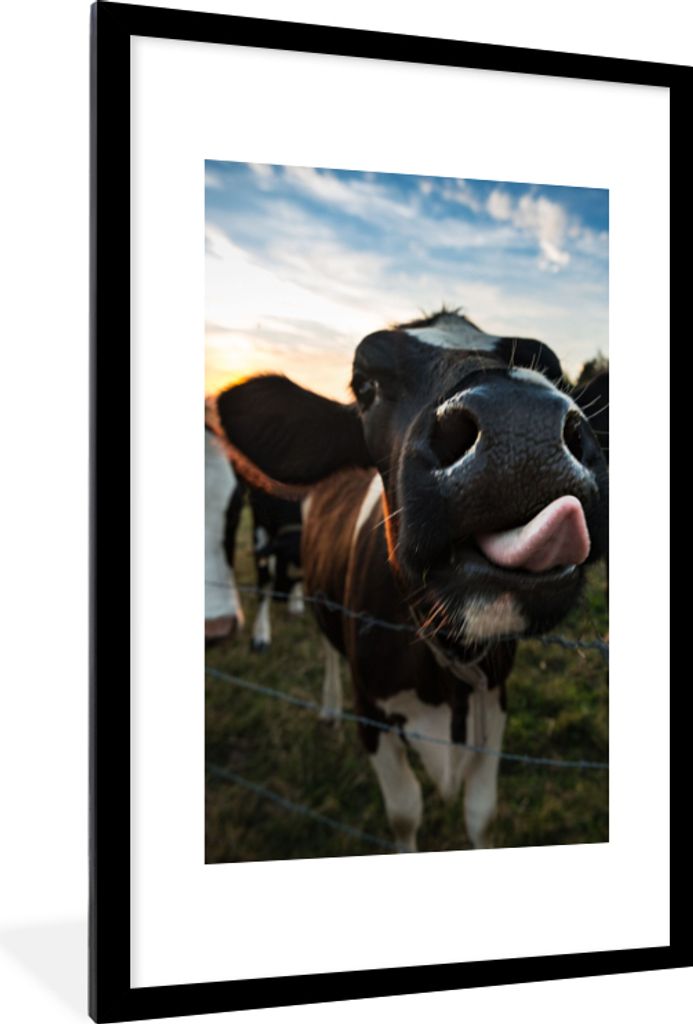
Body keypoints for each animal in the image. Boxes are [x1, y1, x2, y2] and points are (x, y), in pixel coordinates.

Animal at [213, 311, 609, 851]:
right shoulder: (372, 713)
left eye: (552, 370)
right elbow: (404, 813)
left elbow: (481, 814)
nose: (521, 424)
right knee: (324, 645)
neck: (446, 671)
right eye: (366, 385)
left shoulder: (494, 702)